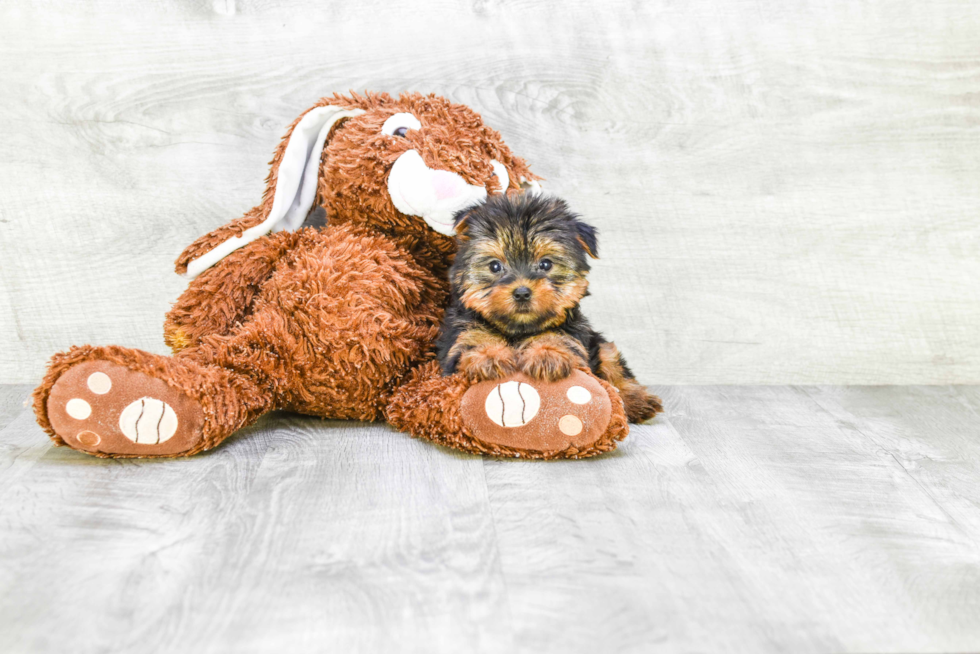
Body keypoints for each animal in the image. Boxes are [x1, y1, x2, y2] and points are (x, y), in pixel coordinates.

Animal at [438, 193, 664, 426]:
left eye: (546, 264)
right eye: (494, 266)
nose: (521, 292)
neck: (518, 329)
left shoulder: (572, 330)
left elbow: (558, 336)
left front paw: (547, 354)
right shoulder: (461, 333)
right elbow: (473, 340)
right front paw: (488, 356)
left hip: (599, 344)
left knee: (613, 364)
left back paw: (637, 400)